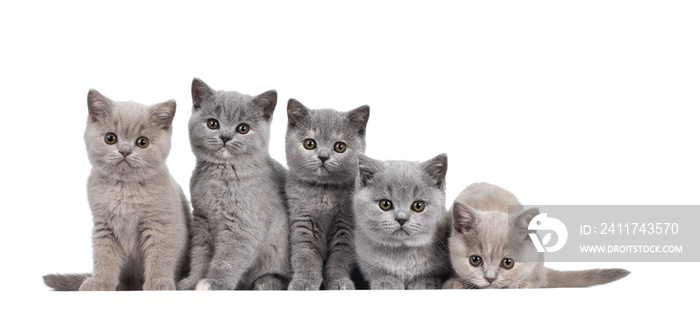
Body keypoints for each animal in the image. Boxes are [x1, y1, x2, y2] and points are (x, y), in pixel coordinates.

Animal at [44, 89, 191, 290]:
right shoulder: (104, 227)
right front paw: (100, 282)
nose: (125, 151)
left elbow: (160, 256)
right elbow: (104, 257)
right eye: (110, 138)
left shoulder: (161, 225)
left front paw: (159, 282)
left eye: (142, 142)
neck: (124, 188)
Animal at [180, 79, 292, 292]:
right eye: (213, 123)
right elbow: (199, 254)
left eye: (243, 128)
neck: (221, 173)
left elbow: (228, 259)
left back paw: (267, 283)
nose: (225, 137)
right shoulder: (202, 219)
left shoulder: (243, 224)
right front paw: (192, 281)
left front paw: (214, 283)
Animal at [286, 98, 372, 290]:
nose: (323, 157)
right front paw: (304, 281)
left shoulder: (346, 226)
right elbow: (305, 255)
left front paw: (339, 282)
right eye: (310, 143)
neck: (324, 192)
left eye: (340, 147)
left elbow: (340, 258)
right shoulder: (303, 221)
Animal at [352, 154, 452, 290]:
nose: (401, 219)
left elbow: (430, 275)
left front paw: (425, 283)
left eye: (418, 206)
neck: (402, 253)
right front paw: (387, 282)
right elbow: (379, 274)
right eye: (385, 204)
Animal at [446, 182, 632, 290]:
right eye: (475, 260)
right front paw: (456, 283)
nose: (490, 279)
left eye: (508, 263)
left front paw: (520, 284)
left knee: (539, 277)